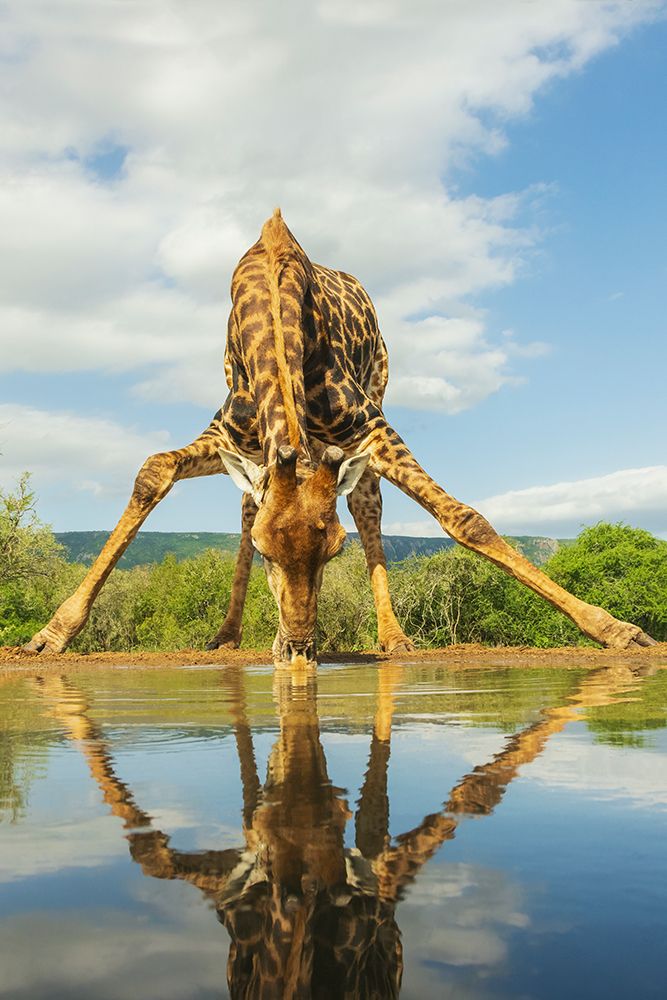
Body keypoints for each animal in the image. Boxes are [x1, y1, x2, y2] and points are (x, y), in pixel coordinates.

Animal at [25, 210, 656, 661]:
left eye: (334, 550)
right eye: (266, 552)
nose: (302, 648)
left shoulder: (371, 427)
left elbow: (463, 518)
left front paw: (617, 631)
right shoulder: (228, 431)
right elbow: (155, 471)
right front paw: (51, 634)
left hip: (377, 398)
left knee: (367, 503)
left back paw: (393, 638)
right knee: (247, 506)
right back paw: (229, 636)